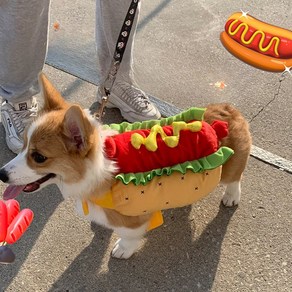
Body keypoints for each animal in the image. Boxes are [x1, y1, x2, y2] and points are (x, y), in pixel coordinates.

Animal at [0, 74, 251, 258]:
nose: (1, 174)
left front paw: (122, 249)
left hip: (229, 168)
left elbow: (129, 235)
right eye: (23, 145)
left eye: (38, 157)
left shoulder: (135, 219)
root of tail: (227, 108)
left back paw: (231, 197)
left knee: (234, 179)